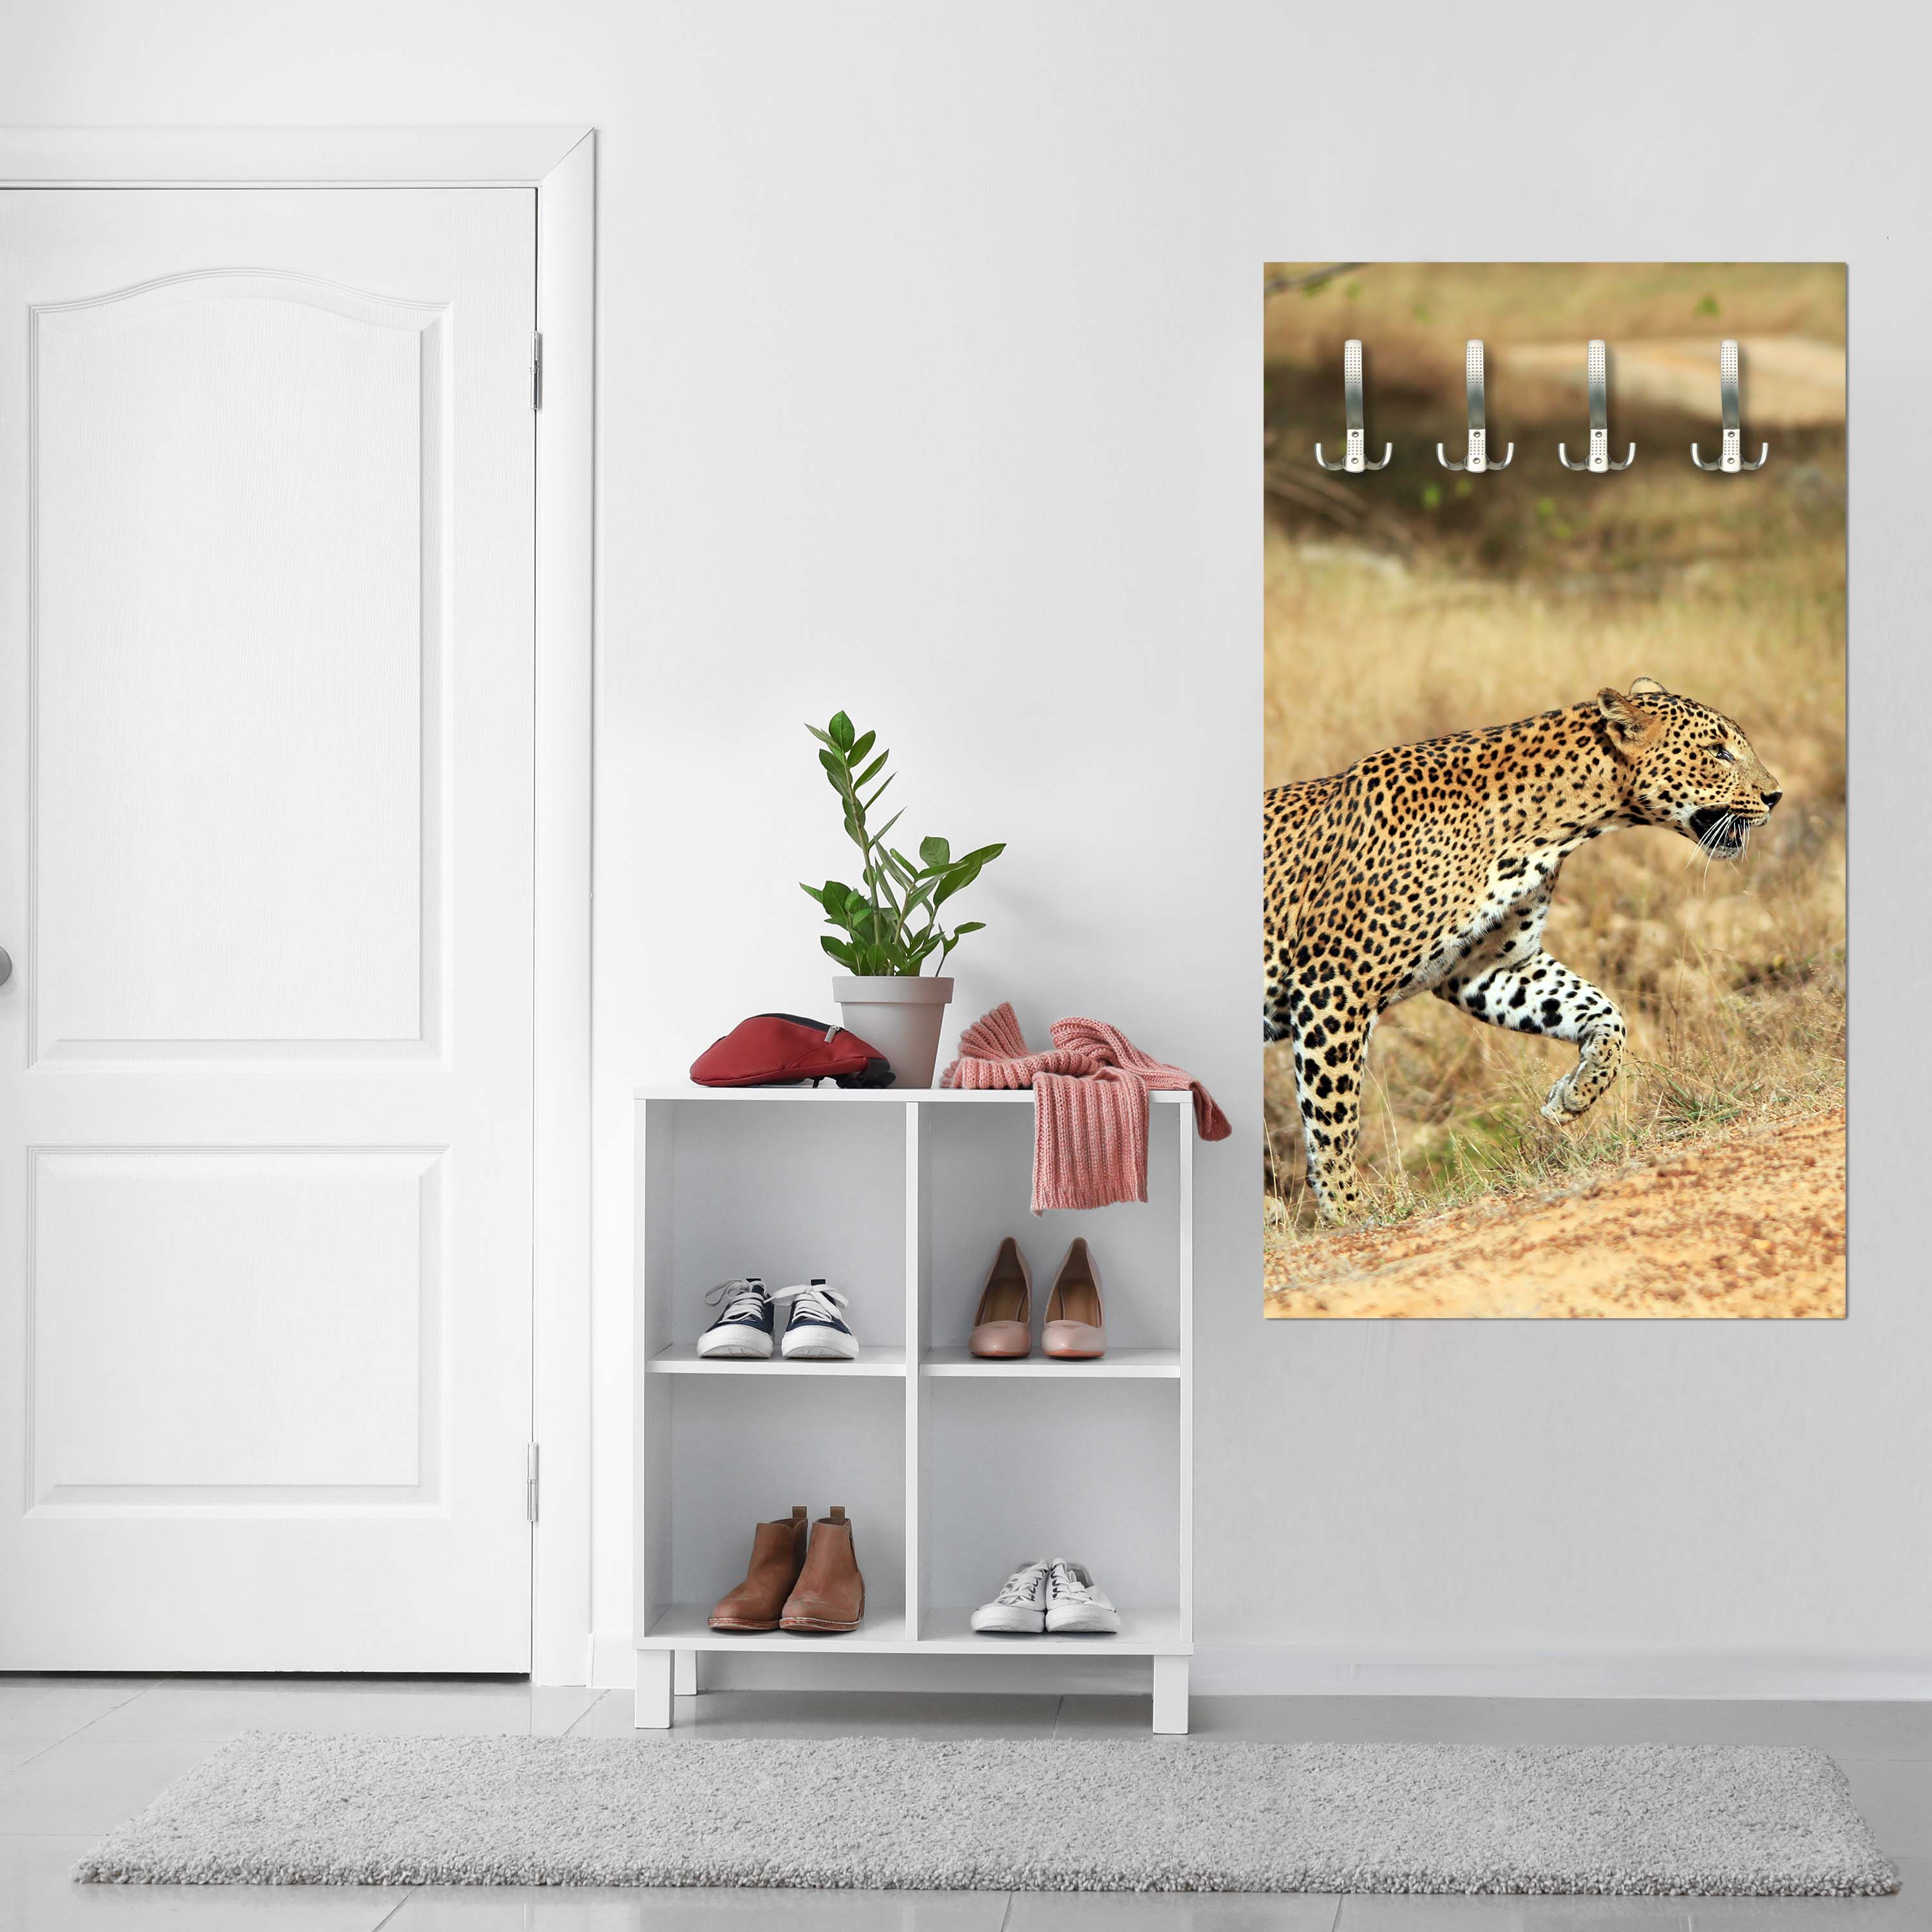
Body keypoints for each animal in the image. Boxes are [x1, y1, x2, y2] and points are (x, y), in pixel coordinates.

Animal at [1263, 678, 1782, 1223]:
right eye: (1718, 752)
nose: (1776, 796)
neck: (1551, 830)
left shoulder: (1494, 967)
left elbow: (1605, 1013)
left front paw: (1575, 1096)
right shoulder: (1335, 985)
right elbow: (1333, 1113)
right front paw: (1347, 1208)